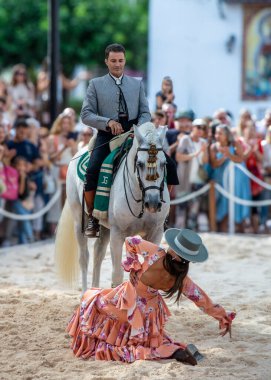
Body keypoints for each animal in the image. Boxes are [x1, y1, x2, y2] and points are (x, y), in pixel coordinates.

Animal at [55, 121, 170, 290]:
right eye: (140, 164)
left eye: (164, 163)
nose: (153, 203)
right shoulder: (117, 234)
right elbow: (117, 275)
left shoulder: (155, 233)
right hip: (79, 222)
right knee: (84, 258)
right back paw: (85, 293)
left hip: (105, 228)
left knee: (98, 254)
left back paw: (95, 291)